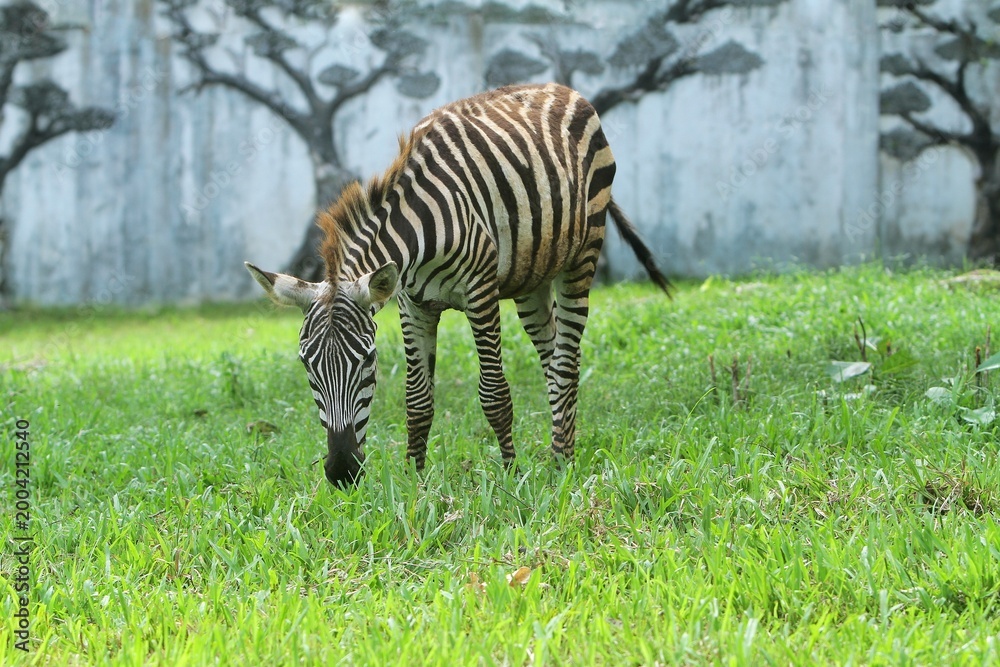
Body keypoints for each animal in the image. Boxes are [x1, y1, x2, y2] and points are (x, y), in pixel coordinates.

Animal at [246, 83, 670, 487]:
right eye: (306, 363)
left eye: (368, 359)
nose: (341, 472)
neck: (419, 235)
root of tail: (560, 87)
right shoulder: (411, 304)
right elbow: (417, 401)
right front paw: (414, 483)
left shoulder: (480, 292)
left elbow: (495, 394)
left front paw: (511, 478)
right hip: (533, 278)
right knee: (554, 357)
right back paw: (561, 453)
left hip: (583, 255)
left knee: (567, 361)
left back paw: (562, 464)